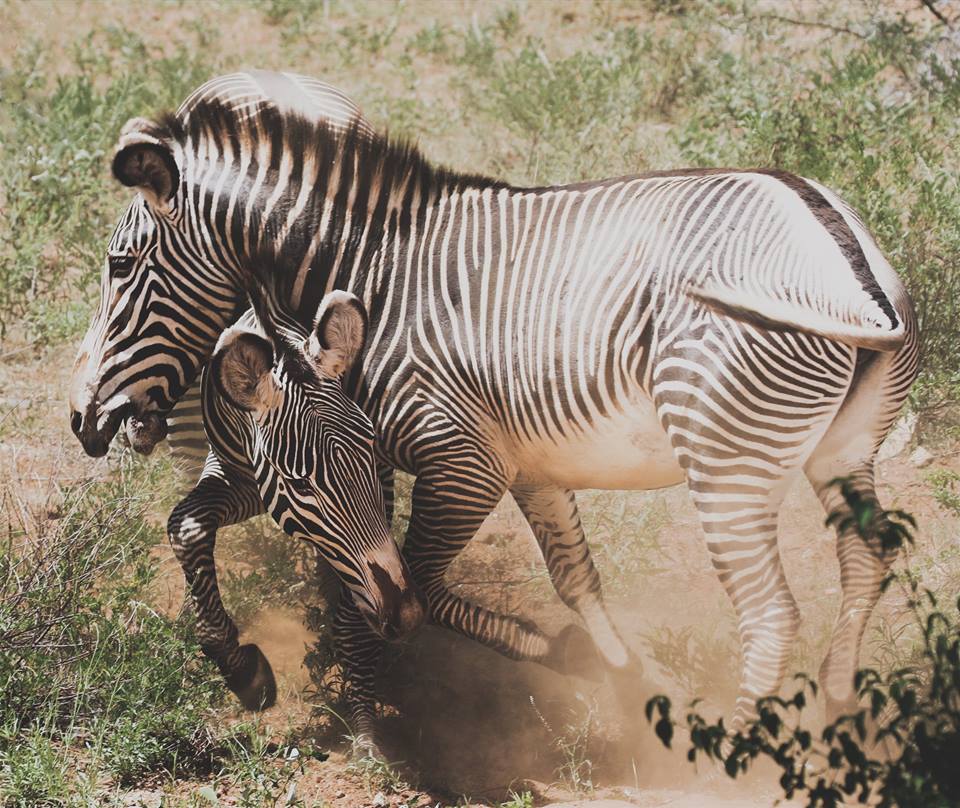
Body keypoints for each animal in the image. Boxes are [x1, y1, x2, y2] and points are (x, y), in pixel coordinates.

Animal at [68, 71, 919, 744]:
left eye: (119, 265)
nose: (83, 418)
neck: (374, 274)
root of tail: (843, 254)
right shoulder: (524, 465)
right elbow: (573, 578)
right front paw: (617, 676)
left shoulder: (461, 465)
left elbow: (407, 587)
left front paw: (365, 706)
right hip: (843, 450)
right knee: (866, 559)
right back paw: (838, 703)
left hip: (727, 465)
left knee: (771, 614)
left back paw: (730, 759)